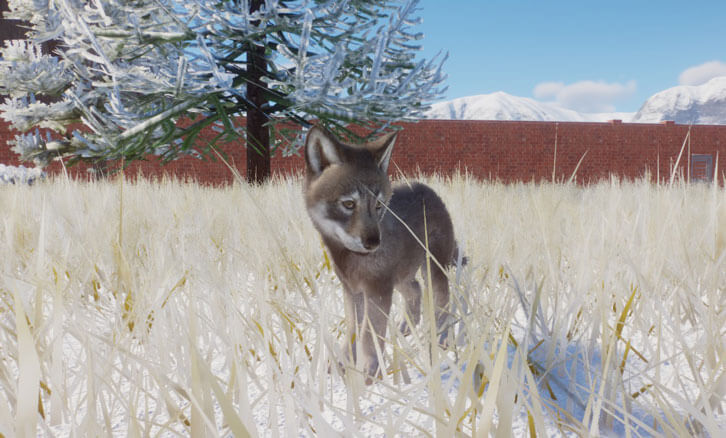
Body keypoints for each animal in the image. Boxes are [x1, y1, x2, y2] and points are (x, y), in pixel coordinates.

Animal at [303, 126, 460, 384]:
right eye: (349, 204)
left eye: (378, 205)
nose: (373, 242)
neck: (350, 259)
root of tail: (428, 190)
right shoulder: (354, 291)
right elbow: (354, 330)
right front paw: (343, 366)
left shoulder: (377, 290)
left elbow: (370, 334)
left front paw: (370, 372)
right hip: (401, 277)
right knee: (415, 289)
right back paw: (407, 328)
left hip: (432, 271)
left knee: (443, 301)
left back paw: (442, 338)